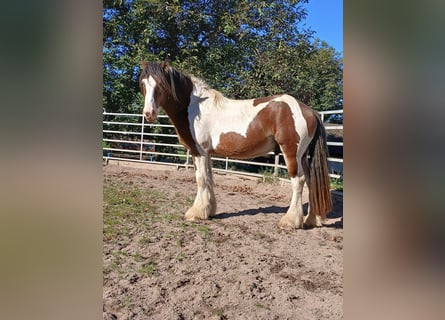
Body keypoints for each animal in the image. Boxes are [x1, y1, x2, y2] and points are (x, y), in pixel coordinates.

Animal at [138, 60, 330, 230]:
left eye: (161, 84)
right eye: (143, 84)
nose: (148, 113)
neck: (194, 108)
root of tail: (309, 111)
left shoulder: (199, 151)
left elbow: (201, 179)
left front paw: (196, 213)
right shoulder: (207, 153)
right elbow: (209, 178)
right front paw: (209, 211)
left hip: (291, 153)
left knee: (299, 181)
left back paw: (290, 222)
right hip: (303, 156)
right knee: (311, 182)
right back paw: (311, 220)